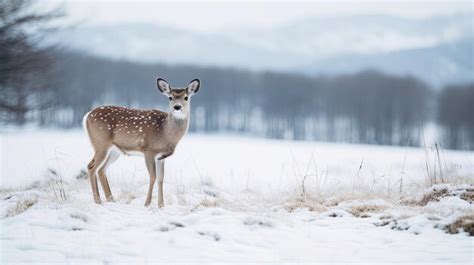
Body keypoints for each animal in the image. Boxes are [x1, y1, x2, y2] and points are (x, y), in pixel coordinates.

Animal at [82, 77, 200, 207]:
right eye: (170, 97)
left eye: (186, 97)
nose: (177, 107)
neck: (164, 133)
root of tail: (86, 116)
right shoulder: (148, 150)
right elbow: (153, 176)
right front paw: (147, 203)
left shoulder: (161, 157)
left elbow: (161, 178)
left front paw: (161, 205)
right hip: (101, 143)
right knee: (91, 167)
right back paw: (98, 200)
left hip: (114, 151)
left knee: (101, 170)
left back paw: (111, 199)